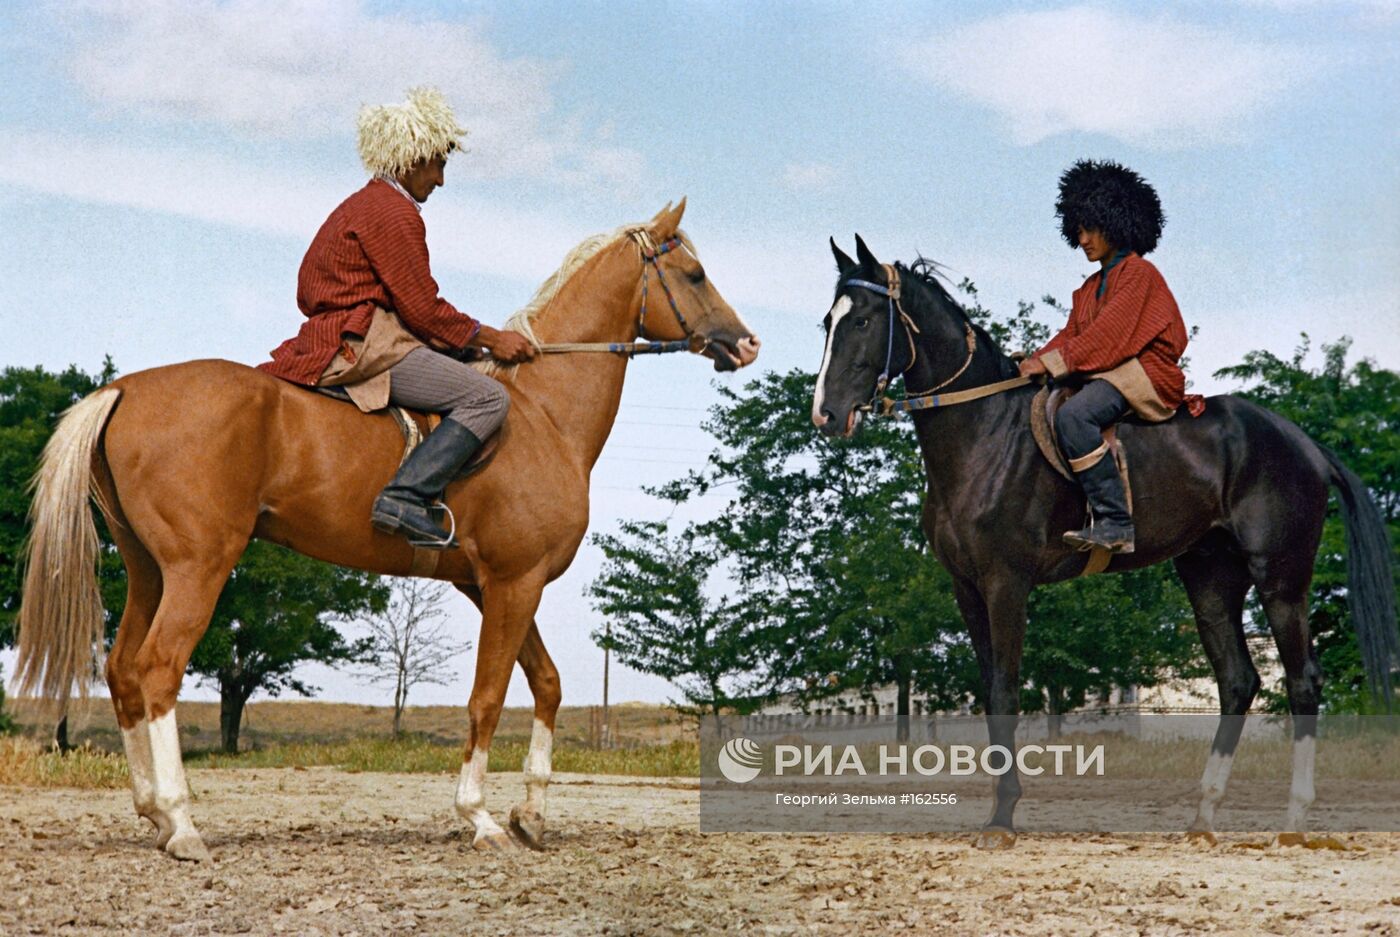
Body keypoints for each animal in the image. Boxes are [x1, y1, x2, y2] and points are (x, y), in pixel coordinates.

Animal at [16, 201, 761, 857]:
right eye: (695, 274)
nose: (748, 342)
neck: (542, 412)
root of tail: (125, 388)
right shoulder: (514, 583)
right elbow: (488, 697)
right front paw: (481, 818)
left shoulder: (491, 586)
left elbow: (547, 684)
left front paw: (531, 814)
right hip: (199, 567)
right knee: (158, 669)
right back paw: (181, 822)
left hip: (149, 568)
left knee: (122, 671)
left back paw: (151, 811)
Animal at [817, 235, 1394, 845]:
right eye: (828, 322)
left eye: (865, 320)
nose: (826, 414)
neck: (985, 432)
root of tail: (1304, 443)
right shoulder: (967, 589)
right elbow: (989, 690)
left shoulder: (1006, 584)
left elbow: (1004, 691)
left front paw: (1002, 817)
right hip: (1210, 579)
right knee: (1237, 681)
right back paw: (1204, 815)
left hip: (1280, 578)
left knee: (1302, 681)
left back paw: (1295, 817)